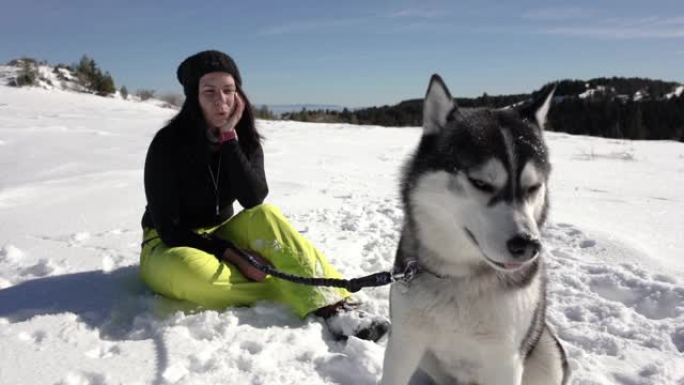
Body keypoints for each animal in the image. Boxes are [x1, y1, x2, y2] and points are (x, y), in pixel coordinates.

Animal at [382, 76, 568, 384]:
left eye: (533, 187)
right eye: (480, 183)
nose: (527, 244)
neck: (461, 277)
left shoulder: (505, 359)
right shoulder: (404, 340)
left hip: (547, 350)